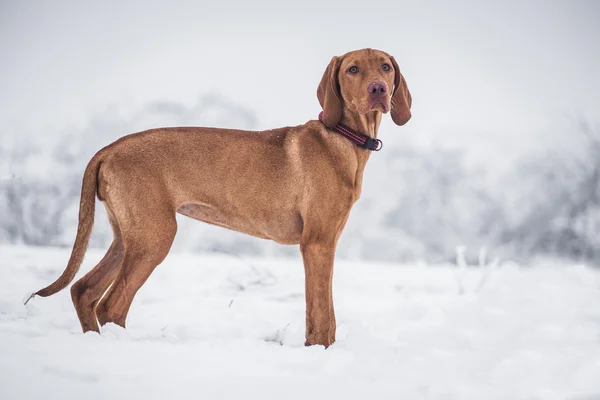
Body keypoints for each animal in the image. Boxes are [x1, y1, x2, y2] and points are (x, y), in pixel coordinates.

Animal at [29, 47, 412, 346]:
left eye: (385, 67)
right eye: (353, 69)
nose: (378, 89)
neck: (344, 137)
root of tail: (108, 149)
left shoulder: (325, 241)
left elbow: (323, 313)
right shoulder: (317, 243)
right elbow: (321, 315)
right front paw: (320, 352)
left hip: (127, 236)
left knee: (83, 291)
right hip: (155, 236)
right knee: (111, 306)